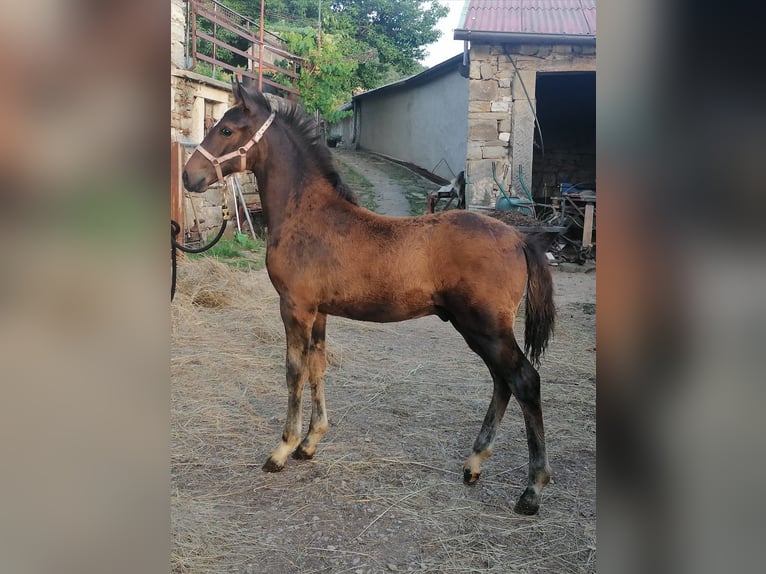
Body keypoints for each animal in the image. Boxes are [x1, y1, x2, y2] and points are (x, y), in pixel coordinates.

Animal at [186, 82, 560, 516]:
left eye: (226, 130)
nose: (188, 175)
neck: (306, 213)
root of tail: (517, 237)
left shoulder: (295, 307)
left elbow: (294, 371)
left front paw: (282, 450)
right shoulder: (319, 312)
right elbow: (317, 366)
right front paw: (310, 443)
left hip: (486, 327)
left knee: (524, 380)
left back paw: (532, 489)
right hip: (477, 329)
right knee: (503, 381)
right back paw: (474, 463)